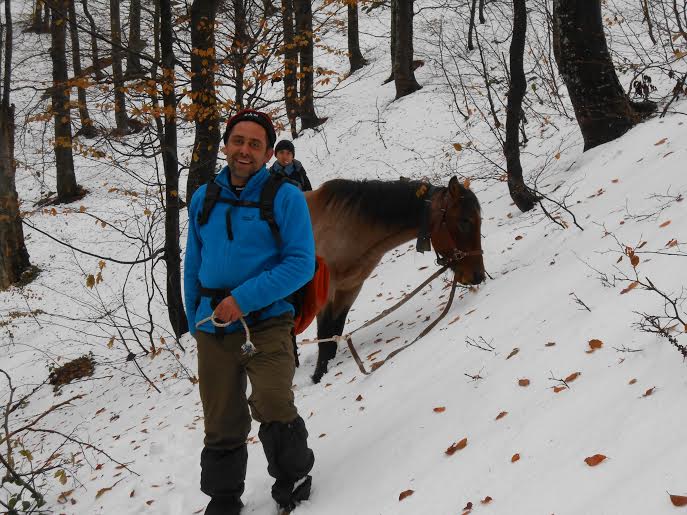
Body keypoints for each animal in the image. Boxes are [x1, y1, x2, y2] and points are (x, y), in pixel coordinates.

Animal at [306, 177, 484, 382]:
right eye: (465, 221)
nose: (478, 275)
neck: (342, 228)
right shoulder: (326, 292)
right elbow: (325, 337)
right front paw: (318, 377)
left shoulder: (350, 288)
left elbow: (334, 333)